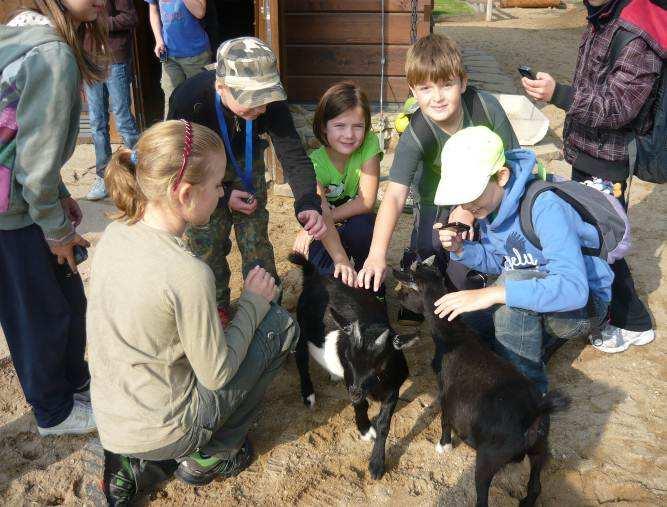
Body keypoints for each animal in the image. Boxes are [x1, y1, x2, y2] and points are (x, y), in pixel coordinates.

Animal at [288, 254, 418, 480]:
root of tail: (314, 276)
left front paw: (376, 465)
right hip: (303, 328)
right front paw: (365, 430)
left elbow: (384, 424)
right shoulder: (352, 379)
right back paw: (308, 395)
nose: (355, 392)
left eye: (381, 364)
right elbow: (361, 406)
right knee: (302, 359)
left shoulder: (393, 388)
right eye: (348, 359)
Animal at [394, 260, 572, 506]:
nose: (397, 295)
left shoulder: (445, 392)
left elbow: (444, 419)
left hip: (488, 459)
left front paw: (443, 445)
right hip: (540, 447)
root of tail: (534, 411)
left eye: (407, 289)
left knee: (482, 496)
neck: (455, 336)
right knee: (536, 484)